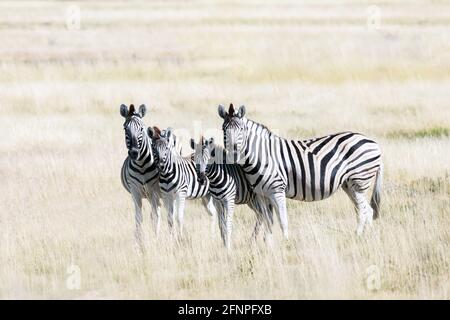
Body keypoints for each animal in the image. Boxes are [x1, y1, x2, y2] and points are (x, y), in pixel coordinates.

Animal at [119, 104, 162, 249]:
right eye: (125, 128)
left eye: (141, 128)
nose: (134, 153)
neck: (142, 165)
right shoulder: (135, 191)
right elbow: (138, 217)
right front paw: (139, 242)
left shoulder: (153, 191)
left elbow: (153, 216)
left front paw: (155, 240)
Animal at [218, 104, 384, 236]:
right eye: (223, 129)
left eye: (242, 129)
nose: (233, 152)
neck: (262, 155)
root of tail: (374, 143)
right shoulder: (261, 194)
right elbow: (267, 221)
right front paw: (267, 246)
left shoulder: (277, 190)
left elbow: (282, 220)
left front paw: (285, 243)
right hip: (349, 185)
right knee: (365, 210)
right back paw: (364, 237)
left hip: (359, 181)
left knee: (364, 211)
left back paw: (360, 237)